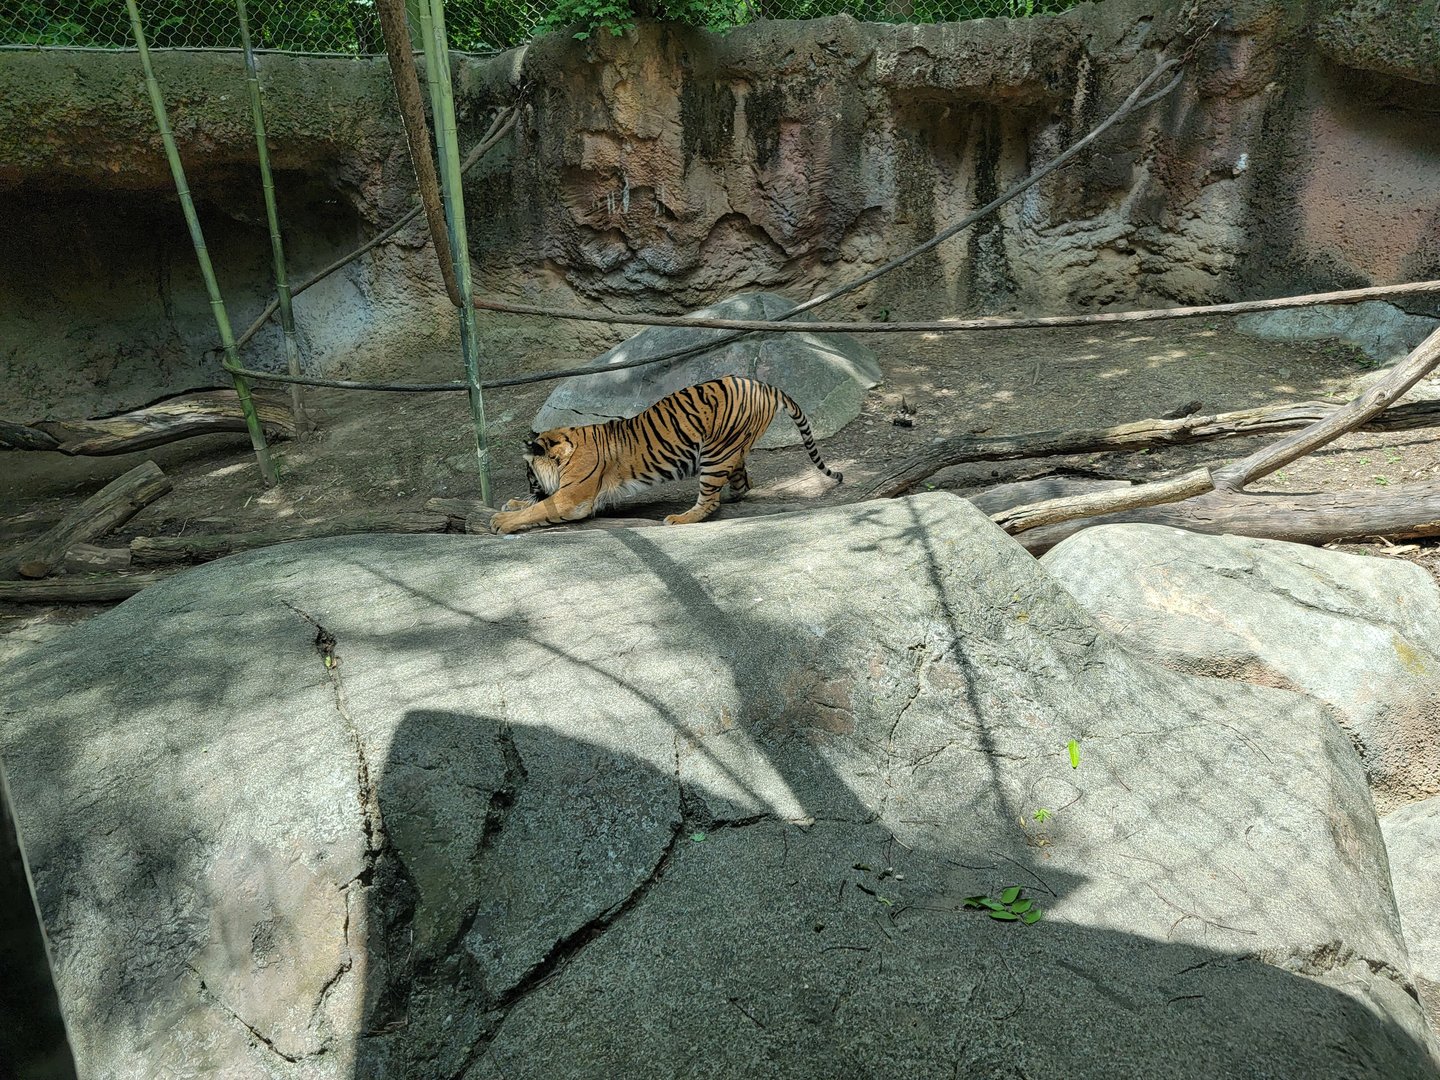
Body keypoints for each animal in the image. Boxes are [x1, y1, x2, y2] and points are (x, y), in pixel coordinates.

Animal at [489, 375, 843, 534]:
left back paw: (679, 518)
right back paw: (732, 494)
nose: (530, 486)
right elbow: (535, 505)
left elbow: (540, 508)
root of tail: (764, 384)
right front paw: (514, 504)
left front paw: (502, 520)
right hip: (732, 447)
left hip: (715, 452)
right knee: (744, 481)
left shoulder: (572, 499)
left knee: (709, 501)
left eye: (529, 474)